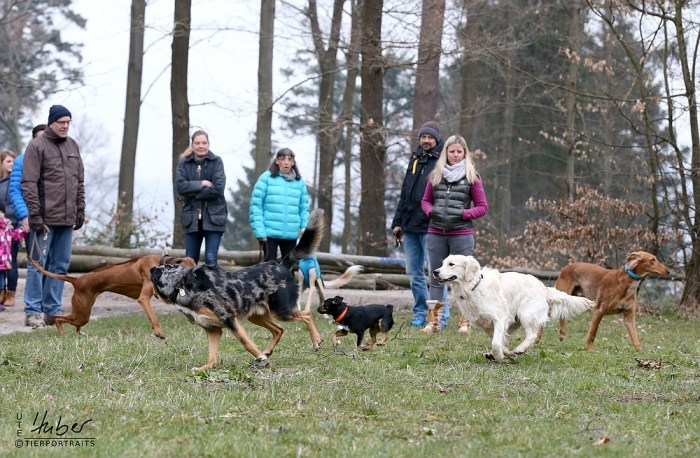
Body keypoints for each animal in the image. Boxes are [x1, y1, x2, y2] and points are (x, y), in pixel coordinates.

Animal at [29, 254, 194, 336]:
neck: (160, 263)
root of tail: (77, 279)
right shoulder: (144, 298)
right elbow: (154, 317)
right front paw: (159, 332)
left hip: (82, 312)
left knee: (73, 323)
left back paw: (79, 334)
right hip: (82, 313)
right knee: (57, 318)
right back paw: (63, 333)